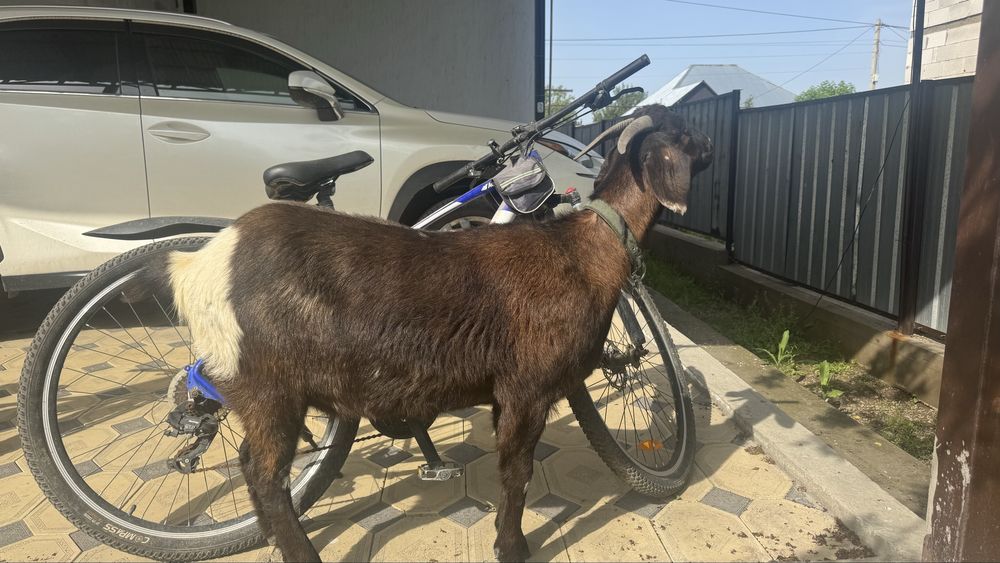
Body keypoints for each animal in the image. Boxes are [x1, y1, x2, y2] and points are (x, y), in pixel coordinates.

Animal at [155, 104, 712, 562]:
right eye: (683, 135)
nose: (710, 147)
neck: (584, 250)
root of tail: (202, 266)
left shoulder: (505, 394)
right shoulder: (526, 389)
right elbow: (517, 475)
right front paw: (512, 547)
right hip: (269, 389)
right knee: (264, 475)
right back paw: (300, 552)